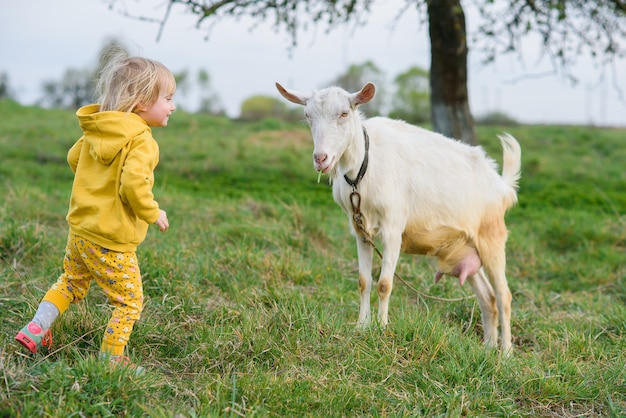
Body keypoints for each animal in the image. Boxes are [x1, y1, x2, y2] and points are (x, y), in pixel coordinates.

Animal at [276, 81, 520, 352]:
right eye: (308, 115)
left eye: (344, 114)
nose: (321, 159)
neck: (363, 168)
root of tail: (501, 184)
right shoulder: (360, 230)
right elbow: (364, 281)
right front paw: (361, 326)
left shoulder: (393, 229)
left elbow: (384, 284)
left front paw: (381, 328)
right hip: (467, 247)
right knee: (488, 298)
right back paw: (487, 349)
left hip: (492, 237)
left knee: (503, 295)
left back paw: (505, 353)